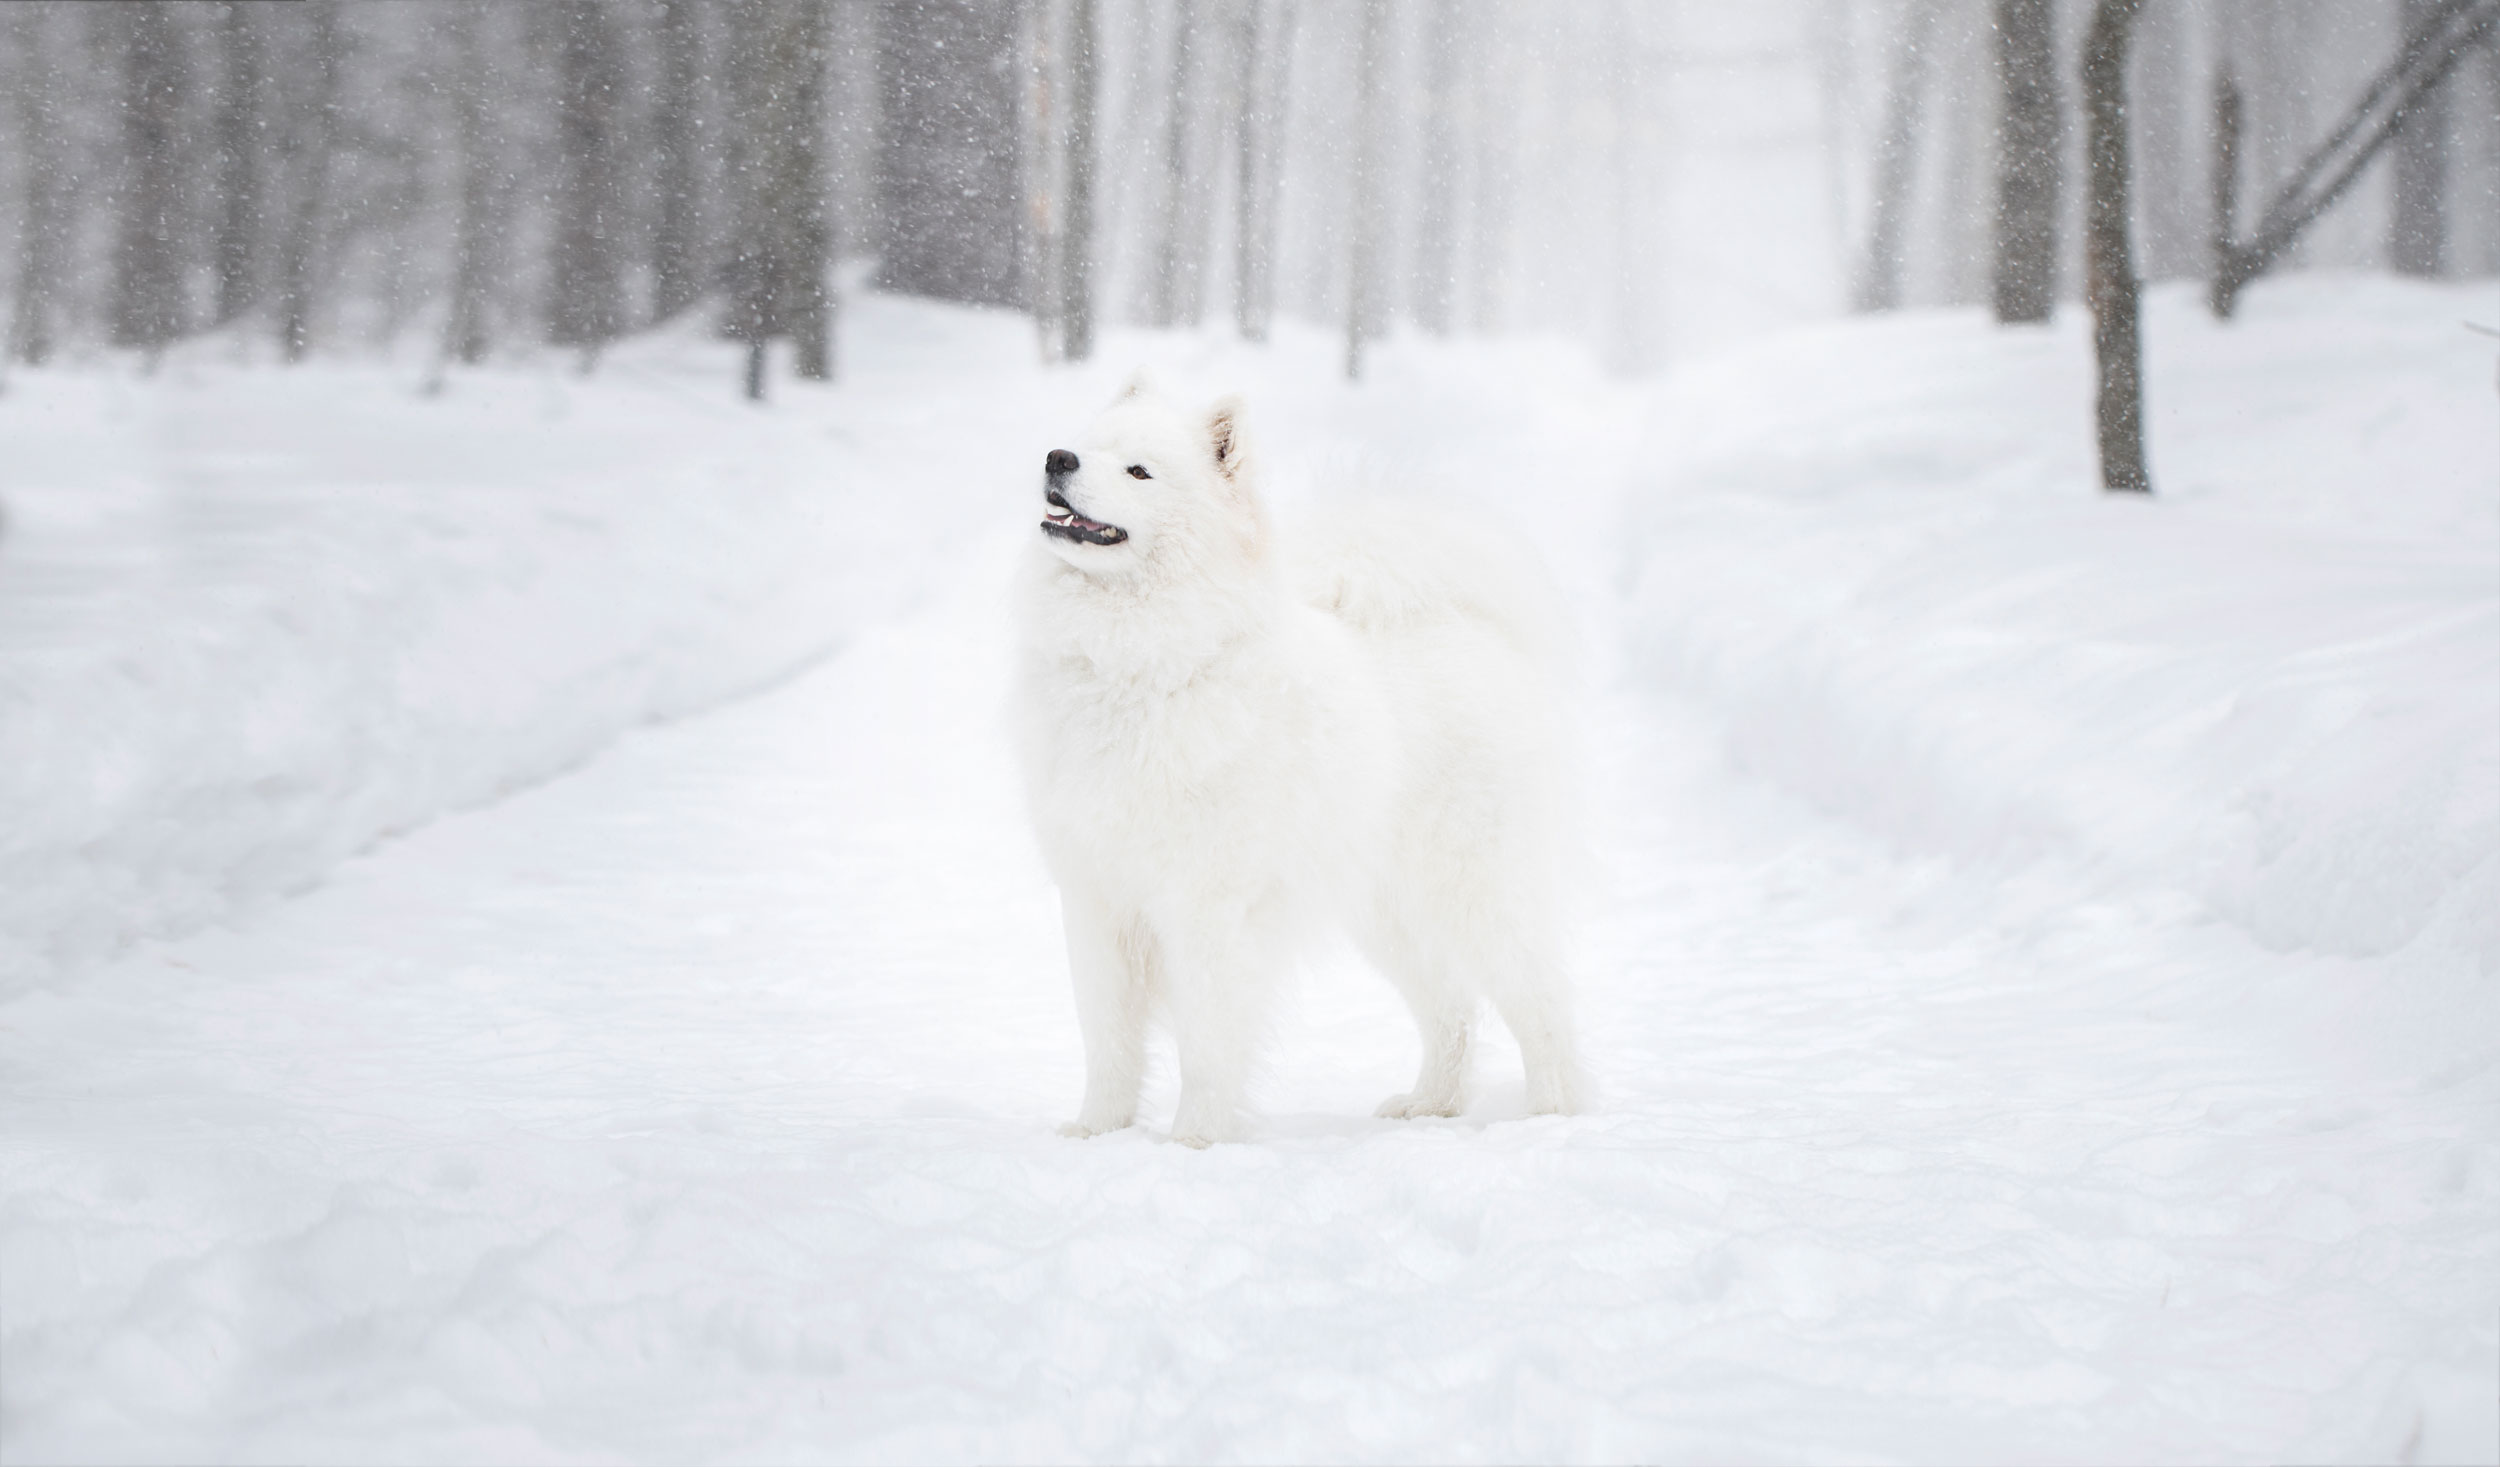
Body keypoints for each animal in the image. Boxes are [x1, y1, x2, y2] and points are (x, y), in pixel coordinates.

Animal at [1010, 374, 1580, 1149]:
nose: (1057, 458)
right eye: (1088, 446)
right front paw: (1097, 1130)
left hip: (1475, 892)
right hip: (1388, 913)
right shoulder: (1098, 901)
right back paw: (1431, 1104)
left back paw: (1554, 1114)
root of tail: (1461, 627)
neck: (1147, 665)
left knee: (1540, 1000)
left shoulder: (1207, 909)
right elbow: (1109, 1040)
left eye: (1138, 471)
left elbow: (1208, 1042)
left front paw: (1195, 1139)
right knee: (1452, 1007)